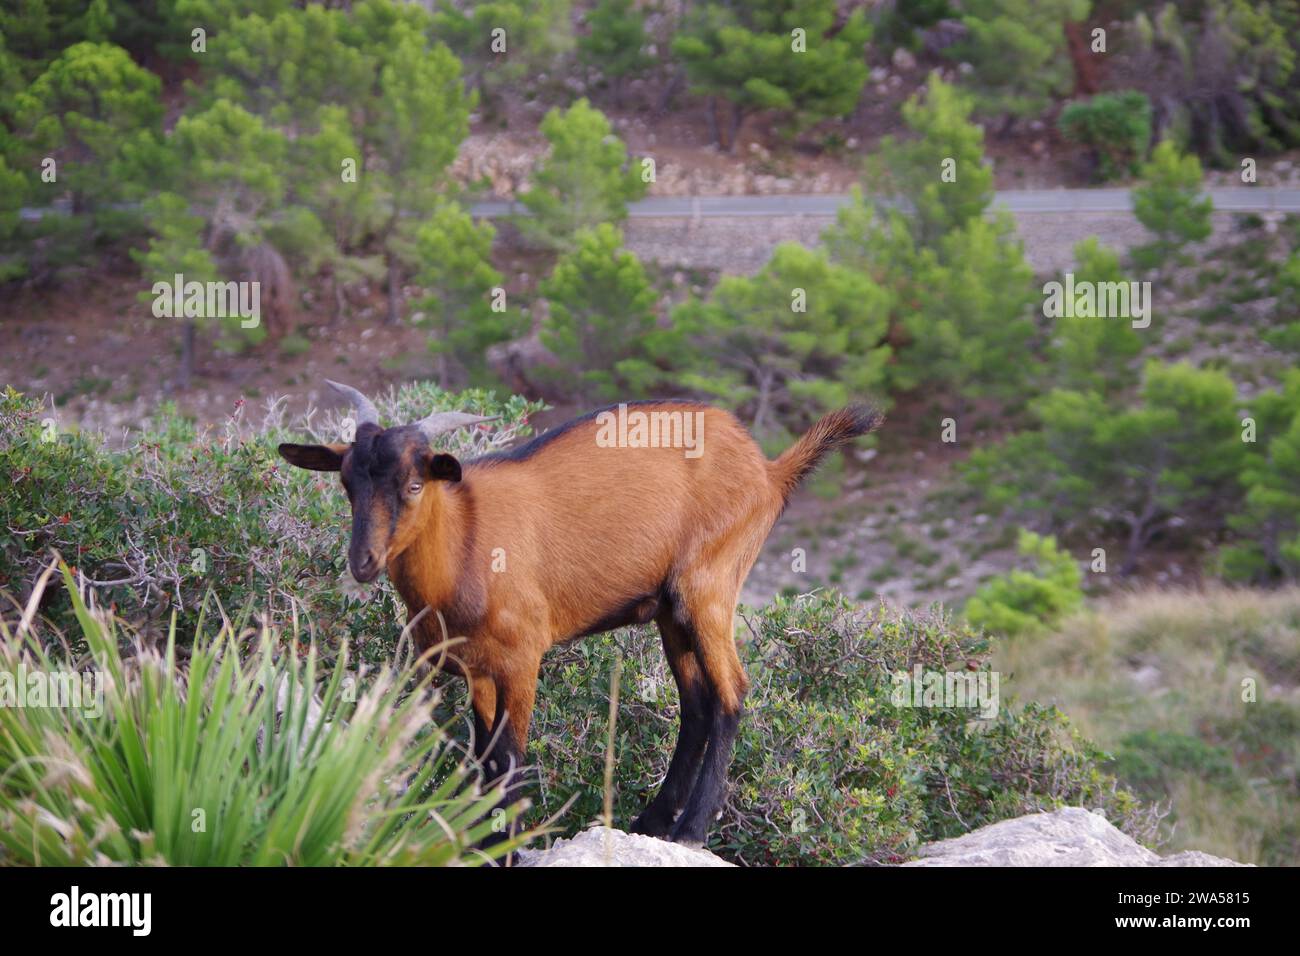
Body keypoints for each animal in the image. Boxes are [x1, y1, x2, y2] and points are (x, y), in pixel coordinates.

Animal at [278, 381, 882, 849]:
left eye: (413, 483)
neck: (464, 547)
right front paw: (478, 843)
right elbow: (483, 760)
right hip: (671, 611)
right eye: (347, 483)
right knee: (697, 703)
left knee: (731, 693)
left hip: (709, 585)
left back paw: (691, 830)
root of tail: (769, 470)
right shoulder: (475, 670)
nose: (363, 562)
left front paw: (503, 847)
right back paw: (652, 821)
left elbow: (510, 761)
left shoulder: (521, 660)